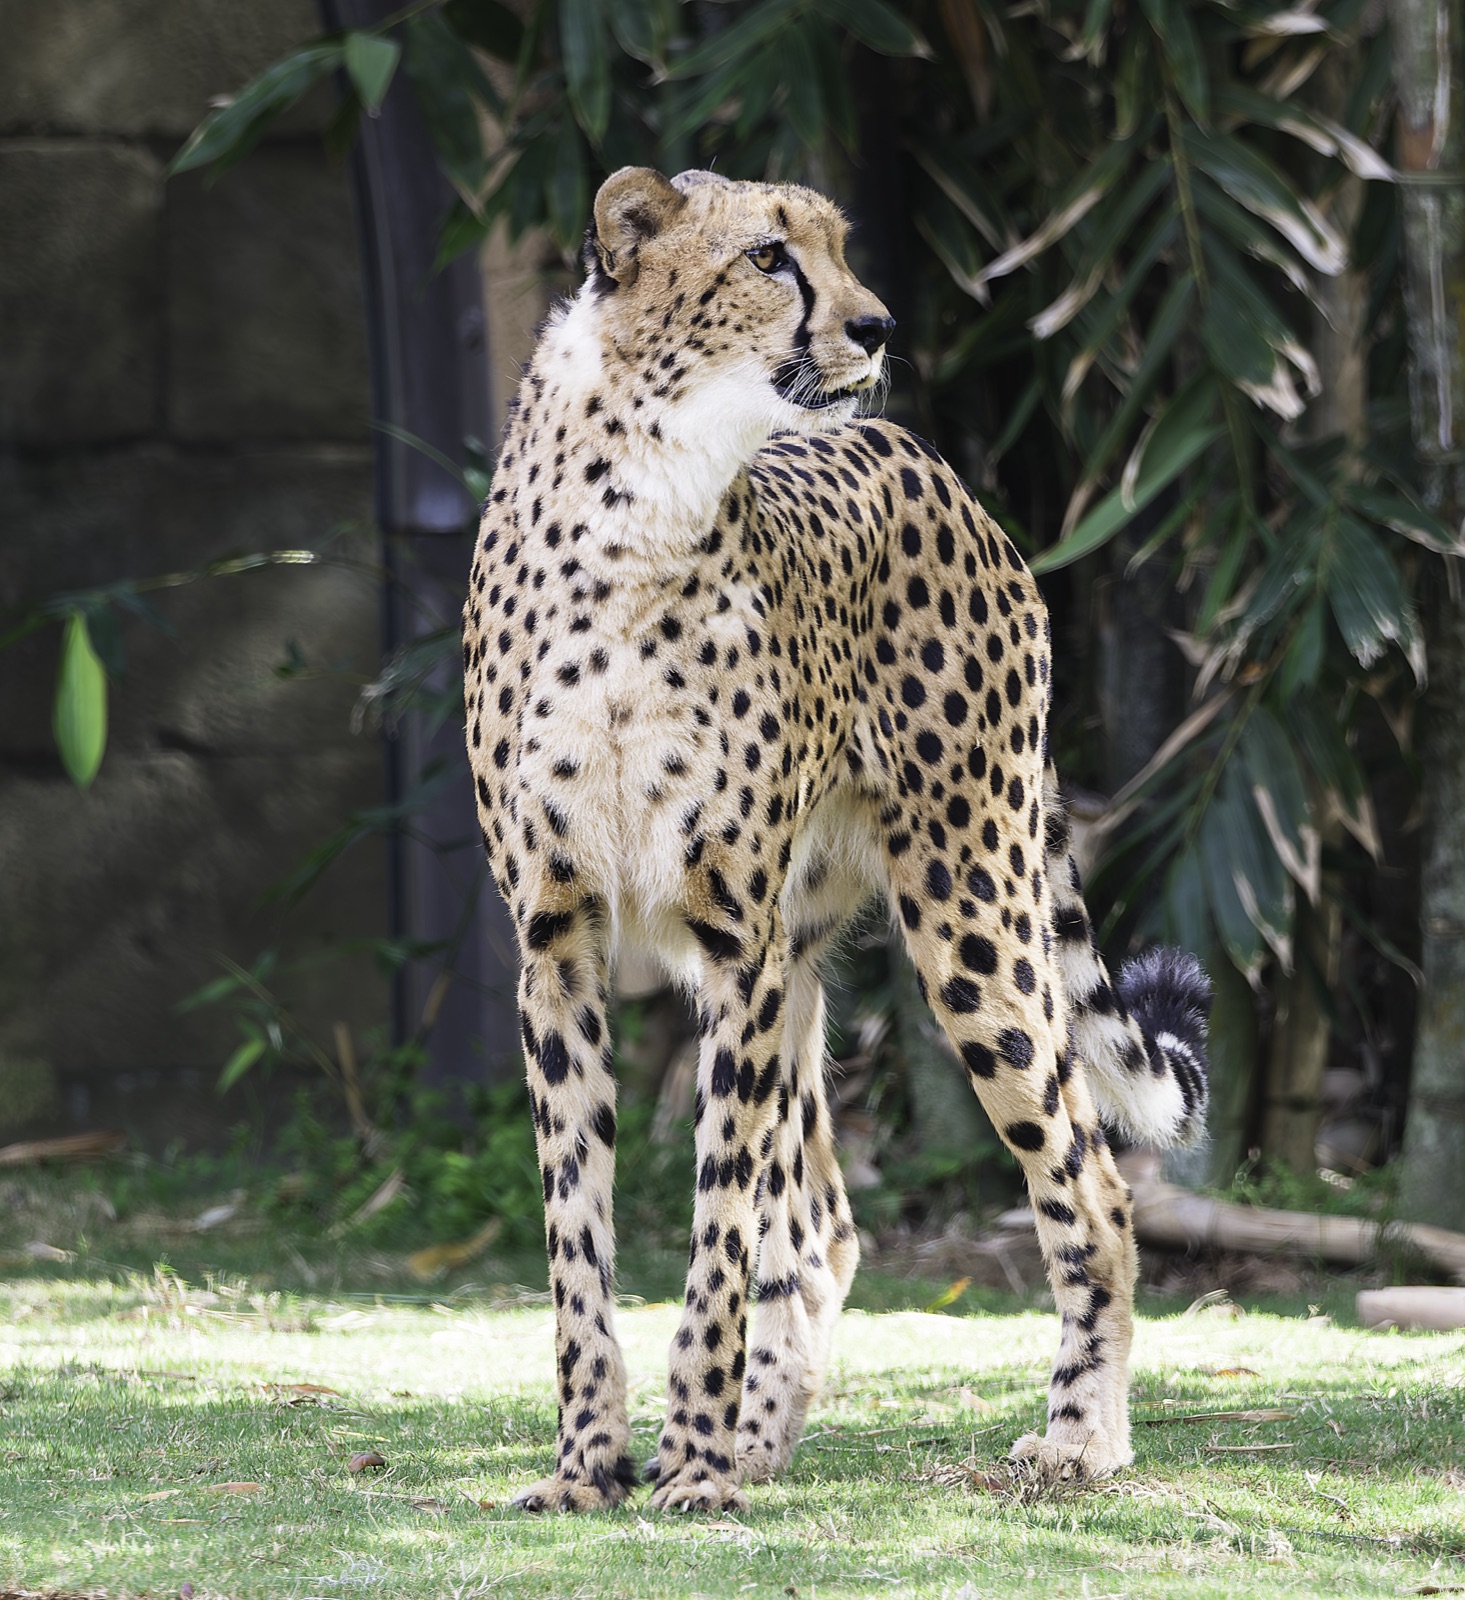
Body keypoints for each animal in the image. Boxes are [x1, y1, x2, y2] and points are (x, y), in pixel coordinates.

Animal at [462, 166, 1210, 1514]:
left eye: (838, 247)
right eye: (768, 256)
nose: (874, 324)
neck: (643, 497)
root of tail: (927, 459)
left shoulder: (732, 938)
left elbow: (714, 1227)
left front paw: (692, 1468)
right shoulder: (558, 936)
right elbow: (577, 1234)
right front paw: (590, 1463)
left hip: (966, 910)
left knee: (1091, 1186)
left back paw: (1078, 1435)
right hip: (807, 953)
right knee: (819, 1226)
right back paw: (763, 1437)